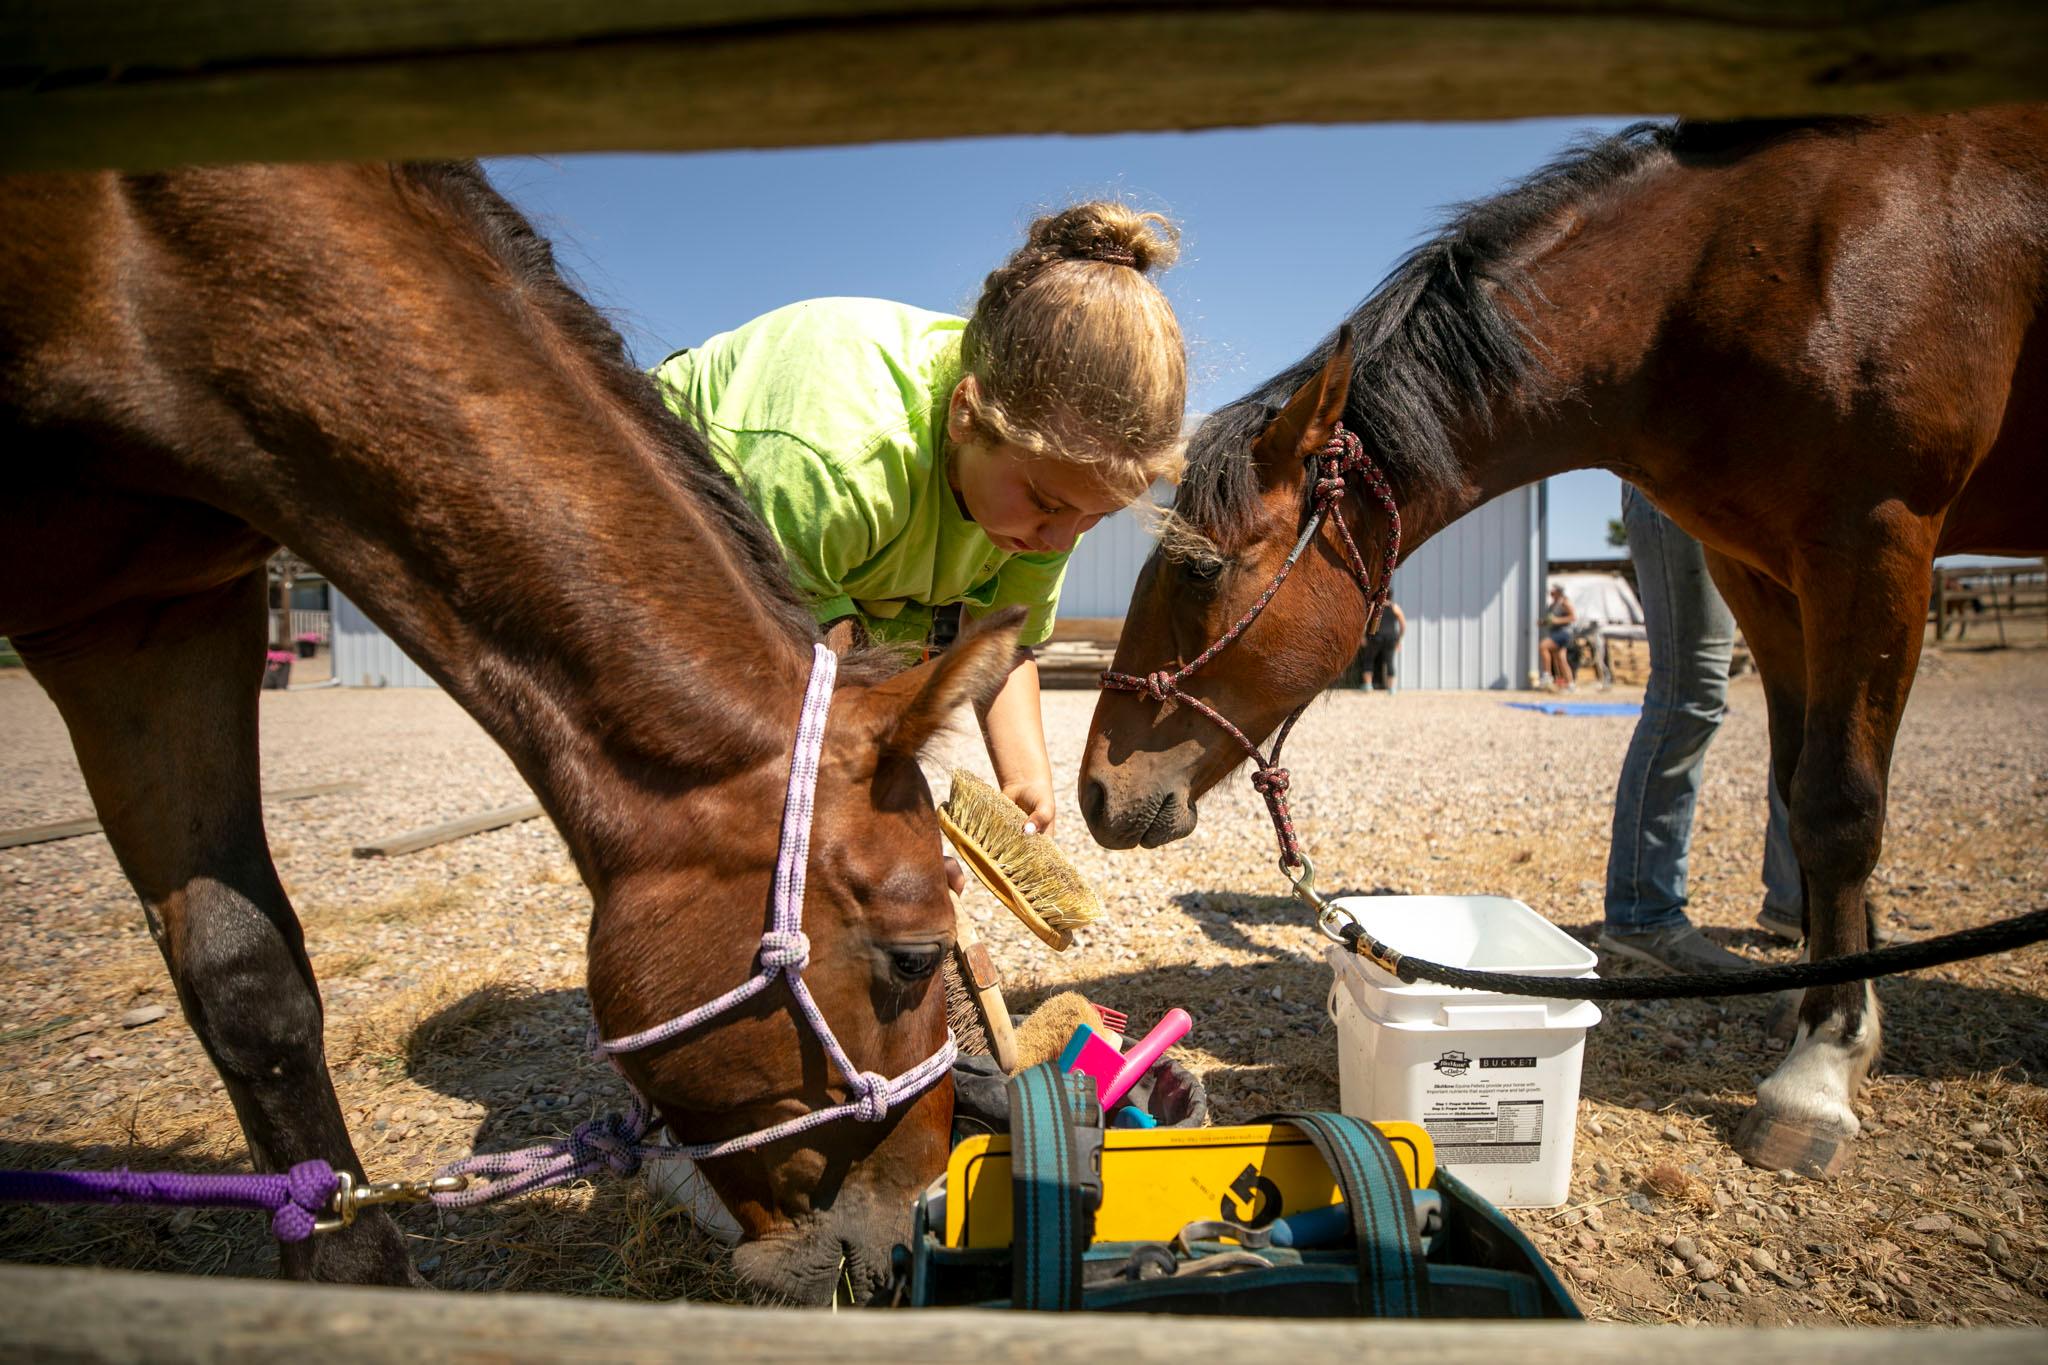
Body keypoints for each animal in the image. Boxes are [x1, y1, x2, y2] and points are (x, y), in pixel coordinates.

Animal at [1089, 109, 2048, 1178]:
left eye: (1201, 568)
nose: (1095, 789)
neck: (1740, 273)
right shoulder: (1758, 566)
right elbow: (1799, 781)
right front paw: (1844, 999)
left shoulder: (1875, 531)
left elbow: (1839, 803)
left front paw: (1823, 1064)